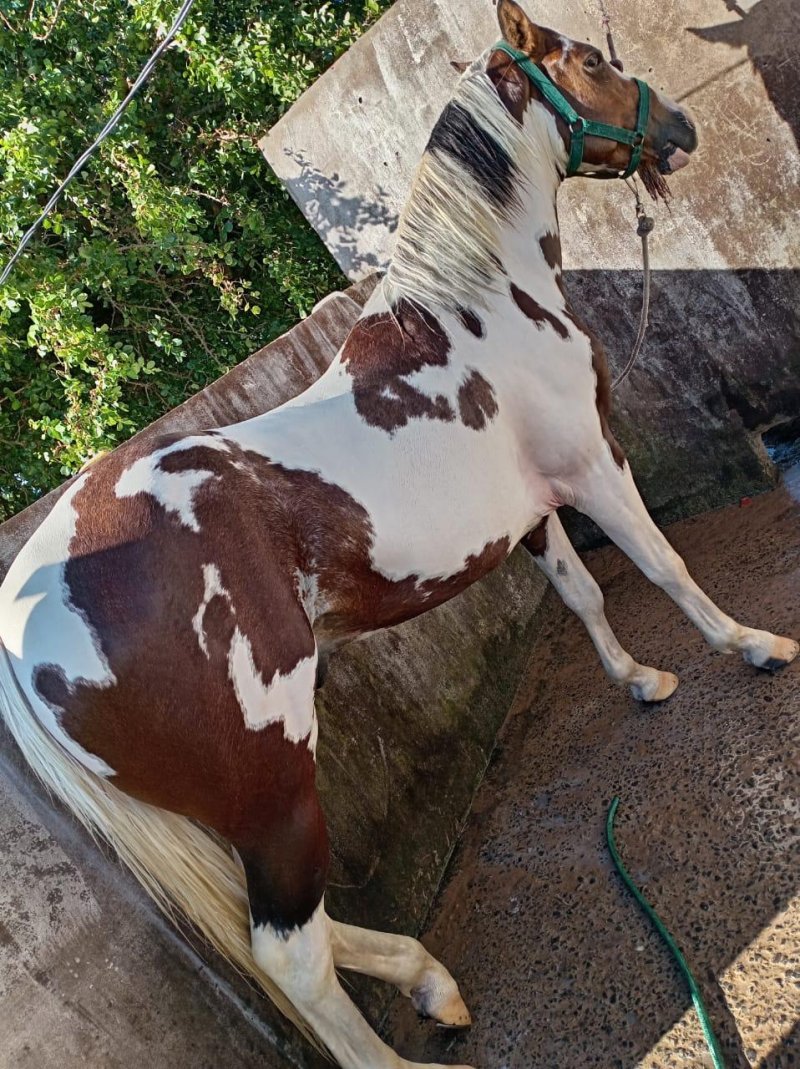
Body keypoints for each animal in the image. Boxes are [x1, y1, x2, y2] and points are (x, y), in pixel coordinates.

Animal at [1, 2, 796, 1066]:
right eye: (589, 58)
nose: (679, 126)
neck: (477, 305)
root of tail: (24, 623)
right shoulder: (593, 463)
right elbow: (665, 566)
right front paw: (753, 646)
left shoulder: (530, 508)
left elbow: (584, 591)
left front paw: (640, 680)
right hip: (276, 790)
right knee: (289, 953)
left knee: (293, 931)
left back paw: (430, 980)